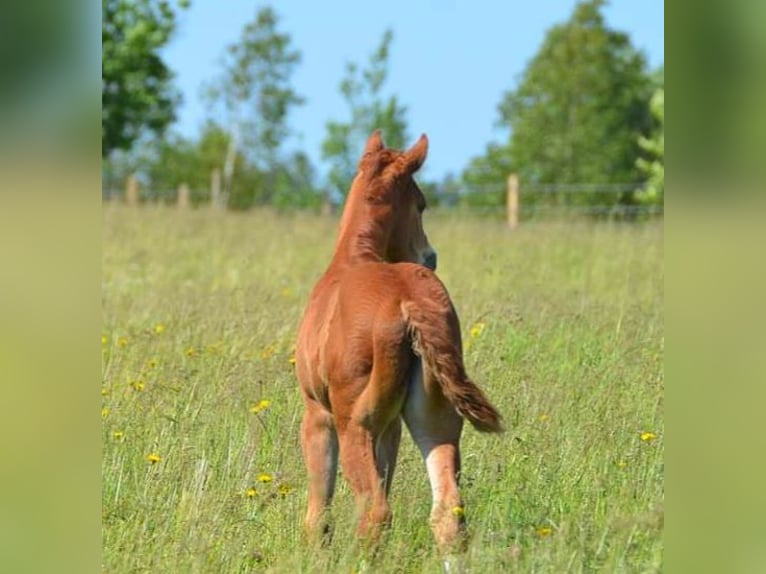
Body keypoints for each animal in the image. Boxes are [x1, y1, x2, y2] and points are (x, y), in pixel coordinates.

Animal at [294, 130, 504, 552]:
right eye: (421, 204)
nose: (430, 256)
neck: (353, 258)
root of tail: (408, 301)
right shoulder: (391, 425)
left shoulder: (317, 414)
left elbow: (318, 514)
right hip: (434, 416)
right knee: (448, 512)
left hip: (354, 422)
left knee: (374, 511)